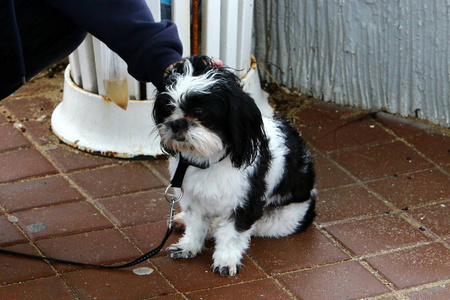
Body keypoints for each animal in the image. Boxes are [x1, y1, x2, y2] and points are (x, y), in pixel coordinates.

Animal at [153, 56, 314, 276]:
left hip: (283, 219)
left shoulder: (245, 202)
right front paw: (189, 246)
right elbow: (195, 224)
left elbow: (232, 234)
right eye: (168, 109)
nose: (176, 123)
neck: (209, 159)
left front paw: (225, 260)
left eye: (199, 111)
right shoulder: (192, 197)